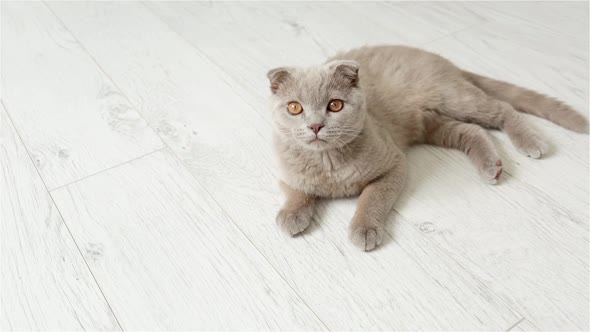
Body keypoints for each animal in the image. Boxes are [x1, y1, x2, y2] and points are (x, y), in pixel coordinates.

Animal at [270, 44, 590, 252]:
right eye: (295, 108)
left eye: (335, 105)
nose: (315, 125)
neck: (329, 163)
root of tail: (438, 58)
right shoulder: (286, 171)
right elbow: (296, 191)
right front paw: (291, 215)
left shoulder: (394, 165)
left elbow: (372, 198)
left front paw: (365, 229)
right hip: (432, 123)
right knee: (471, 131)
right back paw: (492, 166)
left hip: (454, 99)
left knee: (502, 109)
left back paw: (530, 142)